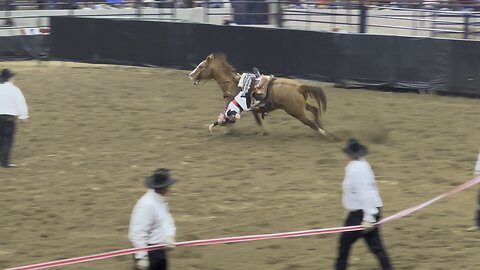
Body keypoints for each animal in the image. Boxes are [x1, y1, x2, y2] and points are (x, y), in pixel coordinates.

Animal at [189, 52, 332, 138]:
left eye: (201, 66)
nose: (191, 75)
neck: (233, 84)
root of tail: (299, 87)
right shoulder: (253, 110)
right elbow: (258, 121)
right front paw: (264, 132)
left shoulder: (233, 108)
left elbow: (228, 120)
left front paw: (227, 131)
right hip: (301, 106)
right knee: (315, 110)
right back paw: (322, 126)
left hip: (296, 112)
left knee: (310, 123)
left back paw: (325, 134)